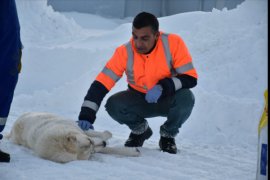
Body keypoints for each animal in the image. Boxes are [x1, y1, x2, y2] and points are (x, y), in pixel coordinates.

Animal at [8, 112, 139, 162]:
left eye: (90, 141)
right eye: (90, 152)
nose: (104, 143)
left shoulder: (78, 128)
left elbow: (91, 132)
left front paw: (107, 134)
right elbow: (108, 149)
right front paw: (133, 152)